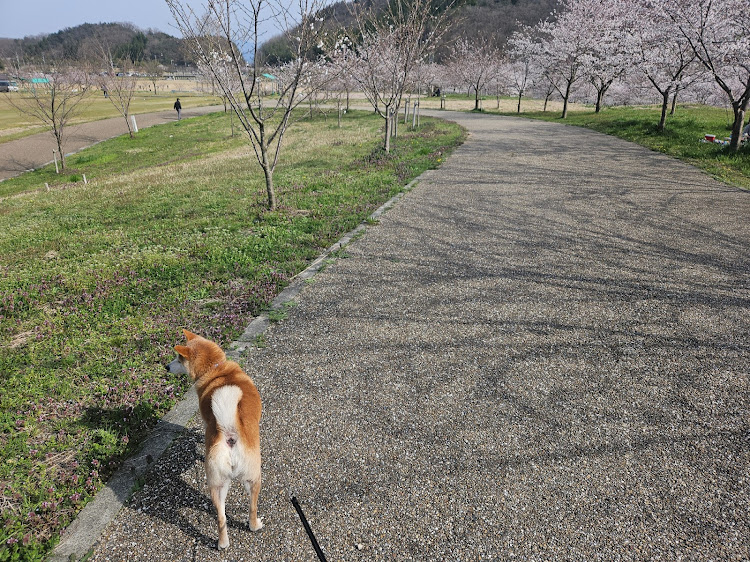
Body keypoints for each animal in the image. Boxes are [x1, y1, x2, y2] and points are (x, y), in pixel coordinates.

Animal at [166, 328, 262, 548]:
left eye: (178, 358)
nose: (166, 367)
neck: (216, 369)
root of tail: (229, 432)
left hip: (218, 485)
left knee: (222, 517)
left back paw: (223, 544)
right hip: (254, 477)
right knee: (251, 509)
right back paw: (255, 525)